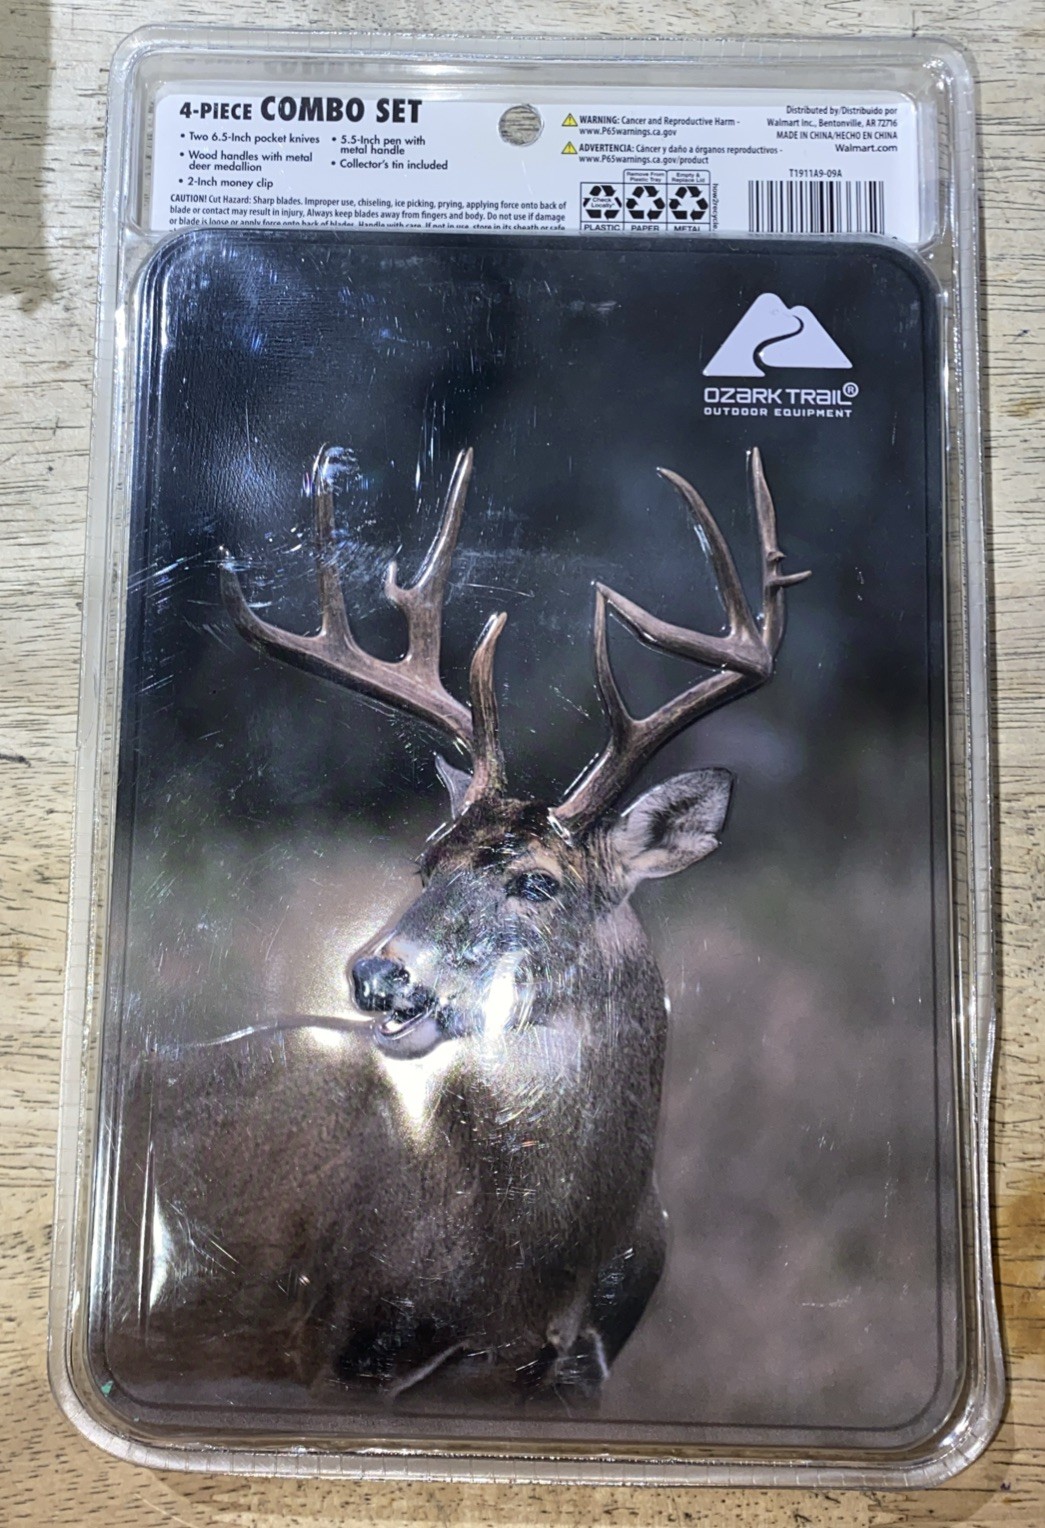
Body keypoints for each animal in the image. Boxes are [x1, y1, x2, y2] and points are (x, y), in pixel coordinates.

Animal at [104, 444, 808, 1409]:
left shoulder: (577, 1377)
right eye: (425, 859)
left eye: (538, 882)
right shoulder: (348, 1353)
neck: (535, 1265)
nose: (376, 973)